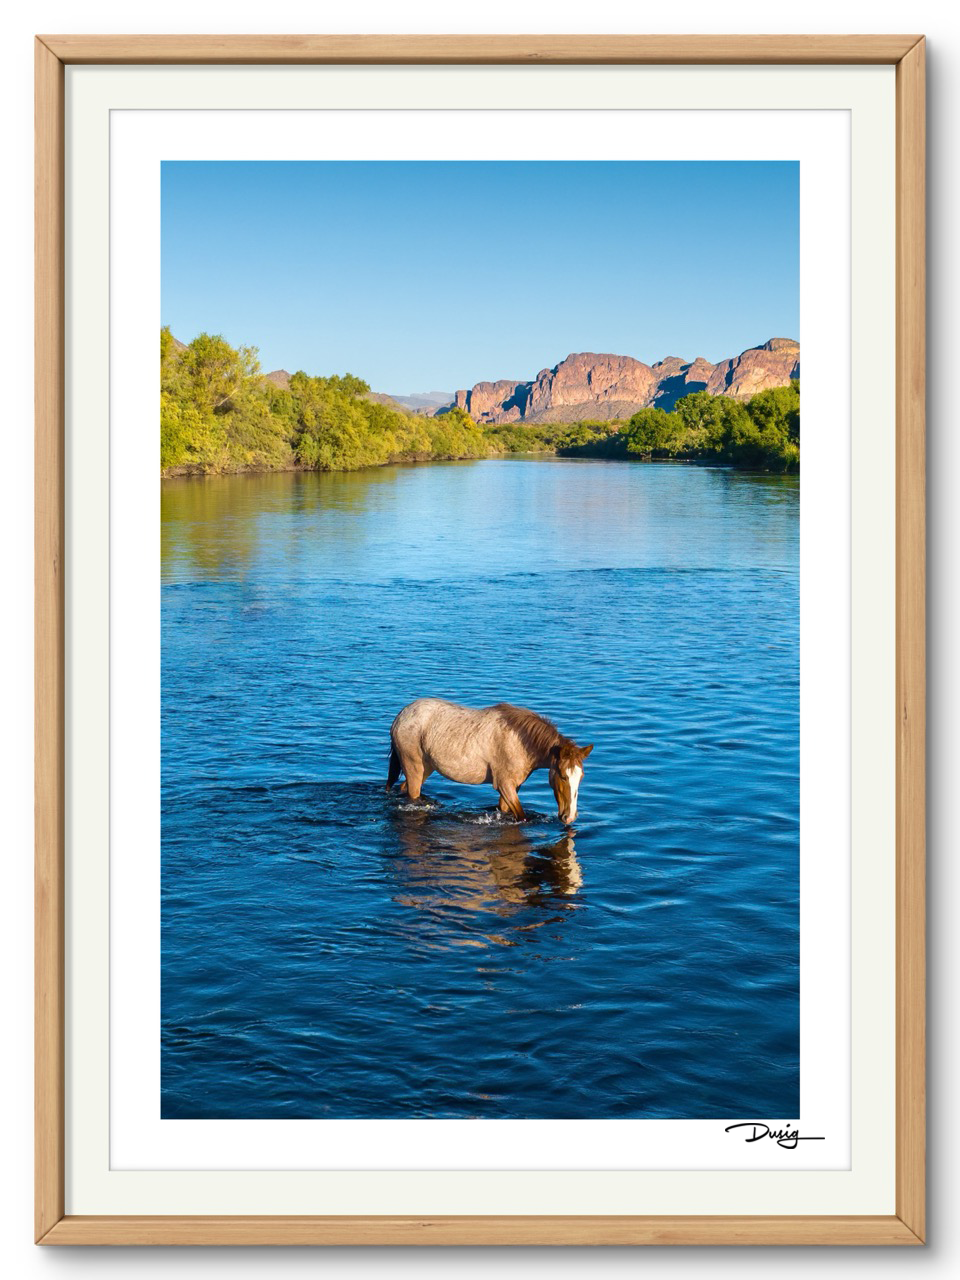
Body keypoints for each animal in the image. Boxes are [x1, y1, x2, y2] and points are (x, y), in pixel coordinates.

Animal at [386, 696, 593, 824]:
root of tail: (401, 716)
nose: (569, 817)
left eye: (581, 777)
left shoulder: (513, 787)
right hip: (414, 766)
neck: (520, 741)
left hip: (426, 767)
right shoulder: (505, 785)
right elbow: (522, 817)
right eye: (562, 776)